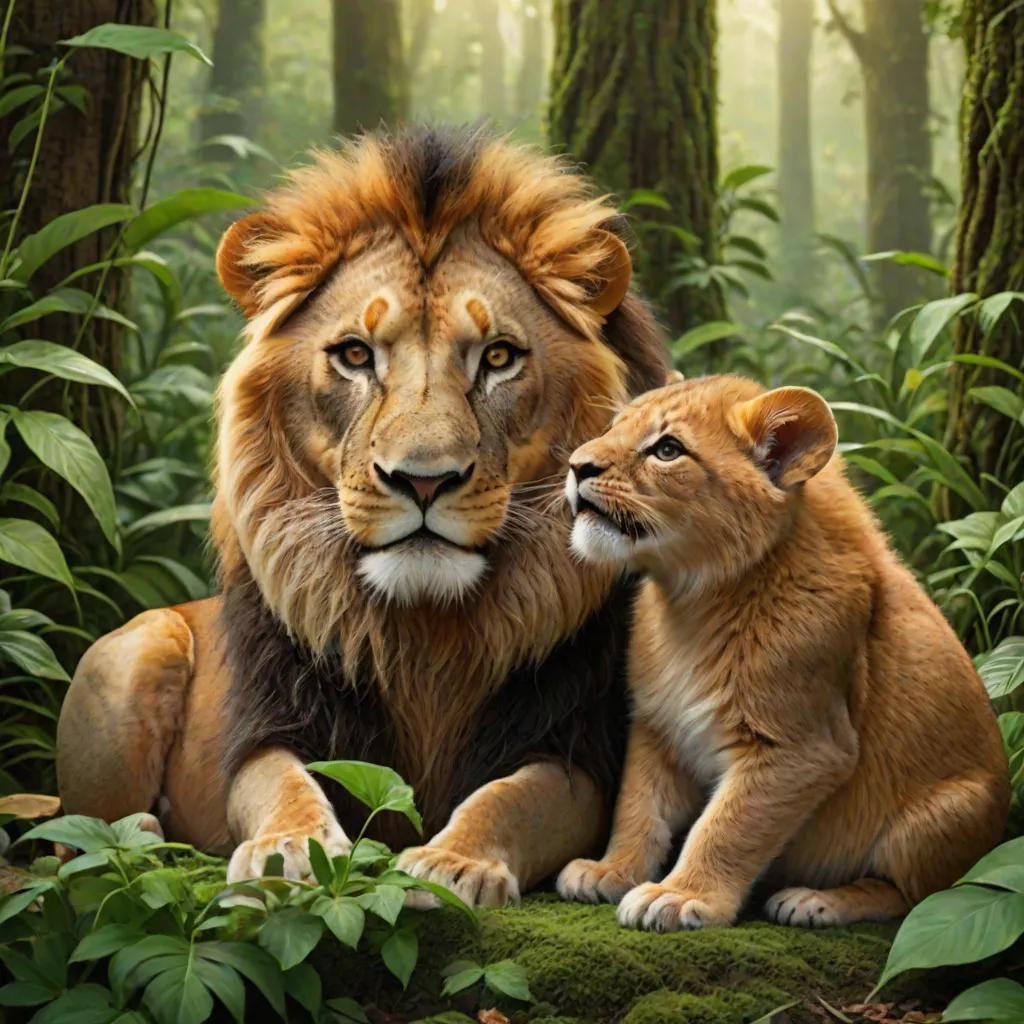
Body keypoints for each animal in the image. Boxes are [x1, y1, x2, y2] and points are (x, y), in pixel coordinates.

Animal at [55, 126, 668, 905]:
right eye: (354, 354)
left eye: (499, 357)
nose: (423, 480)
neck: (426, 640)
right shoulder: (278, 722)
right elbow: (281, 785)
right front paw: (289, 850)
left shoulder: (575, 744)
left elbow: (510, 799)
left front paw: (454, 862)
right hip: (138, 648)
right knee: (72, 843)